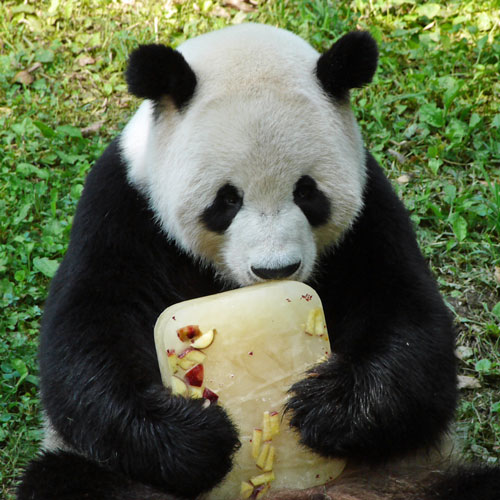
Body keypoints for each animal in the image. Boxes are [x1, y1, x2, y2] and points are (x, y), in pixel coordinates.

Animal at [15, 21, 500, 498]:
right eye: (227, 200)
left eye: (307, 192)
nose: (275, 271)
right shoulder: (123, 208)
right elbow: (87, 342)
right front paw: (200, 435)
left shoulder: (370, 214)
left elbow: (413, 330)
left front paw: (325, 406)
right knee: (64, 477)